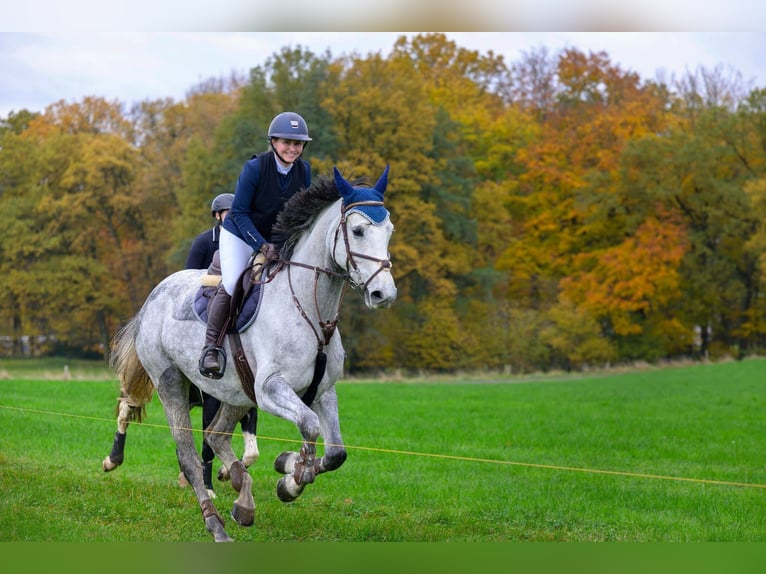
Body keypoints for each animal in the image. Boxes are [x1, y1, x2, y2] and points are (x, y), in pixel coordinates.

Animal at [101, 165, 396, 542]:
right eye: (357, 231)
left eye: (389, 231)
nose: (383, 294)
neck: (309, 308)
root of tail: (155, 294)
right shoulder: (271, 389)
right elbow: (310, 425)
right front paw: (293, 476)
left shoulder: (323, 391)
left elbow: (336, 453)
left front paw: (287, 473)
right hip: (171, 383)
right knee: (188, 454)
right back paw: (216, 524)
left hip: (236, 392)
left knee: (216, 434)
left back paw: (243, 498)